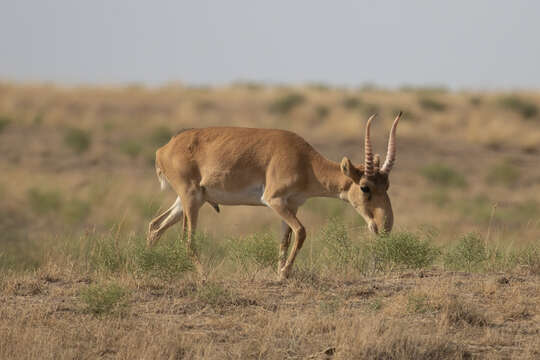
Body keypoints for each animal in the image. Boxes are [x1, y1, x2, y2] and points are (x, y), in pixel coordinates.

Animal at [148, 112, 400, 278]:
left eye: (387, 184)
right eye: (365, 187)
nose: (384, 226)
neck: (305, 160)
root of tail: (163, 149)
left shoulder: (292, 205)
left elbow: (285, 239)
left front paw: (279, 272)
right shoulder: (274, 201)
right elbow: (301, 231)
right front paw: (285, 273)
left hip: (187, 201)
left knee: (155, 226)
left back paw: (149, 265)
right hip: (191, 199)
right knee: (187, 240)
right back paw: (204, 276)